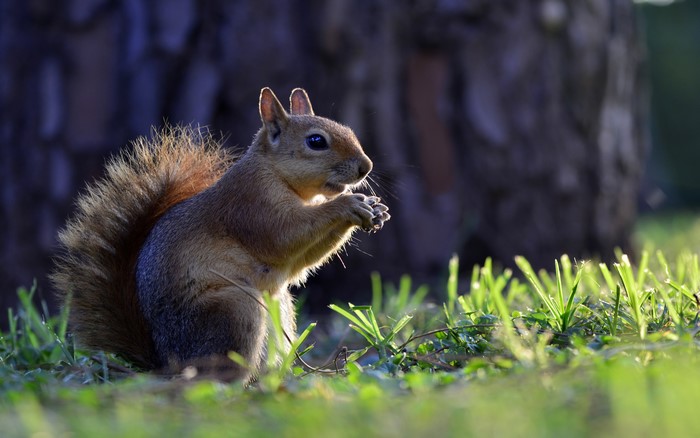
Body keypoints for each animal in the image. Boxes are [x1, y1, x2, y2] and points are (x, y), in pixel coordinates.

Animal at [51, 87, 390, 382]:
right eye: (316, 141)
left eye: (348, 129)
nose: (366, 166)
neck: (275, 174)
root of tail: (167, 362)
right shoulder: (251, 206)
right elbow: (284, 236)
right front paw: (348, 204)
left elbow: (299, 264)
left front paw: (375, 209)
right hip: (234, 309)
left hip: (277, 308)